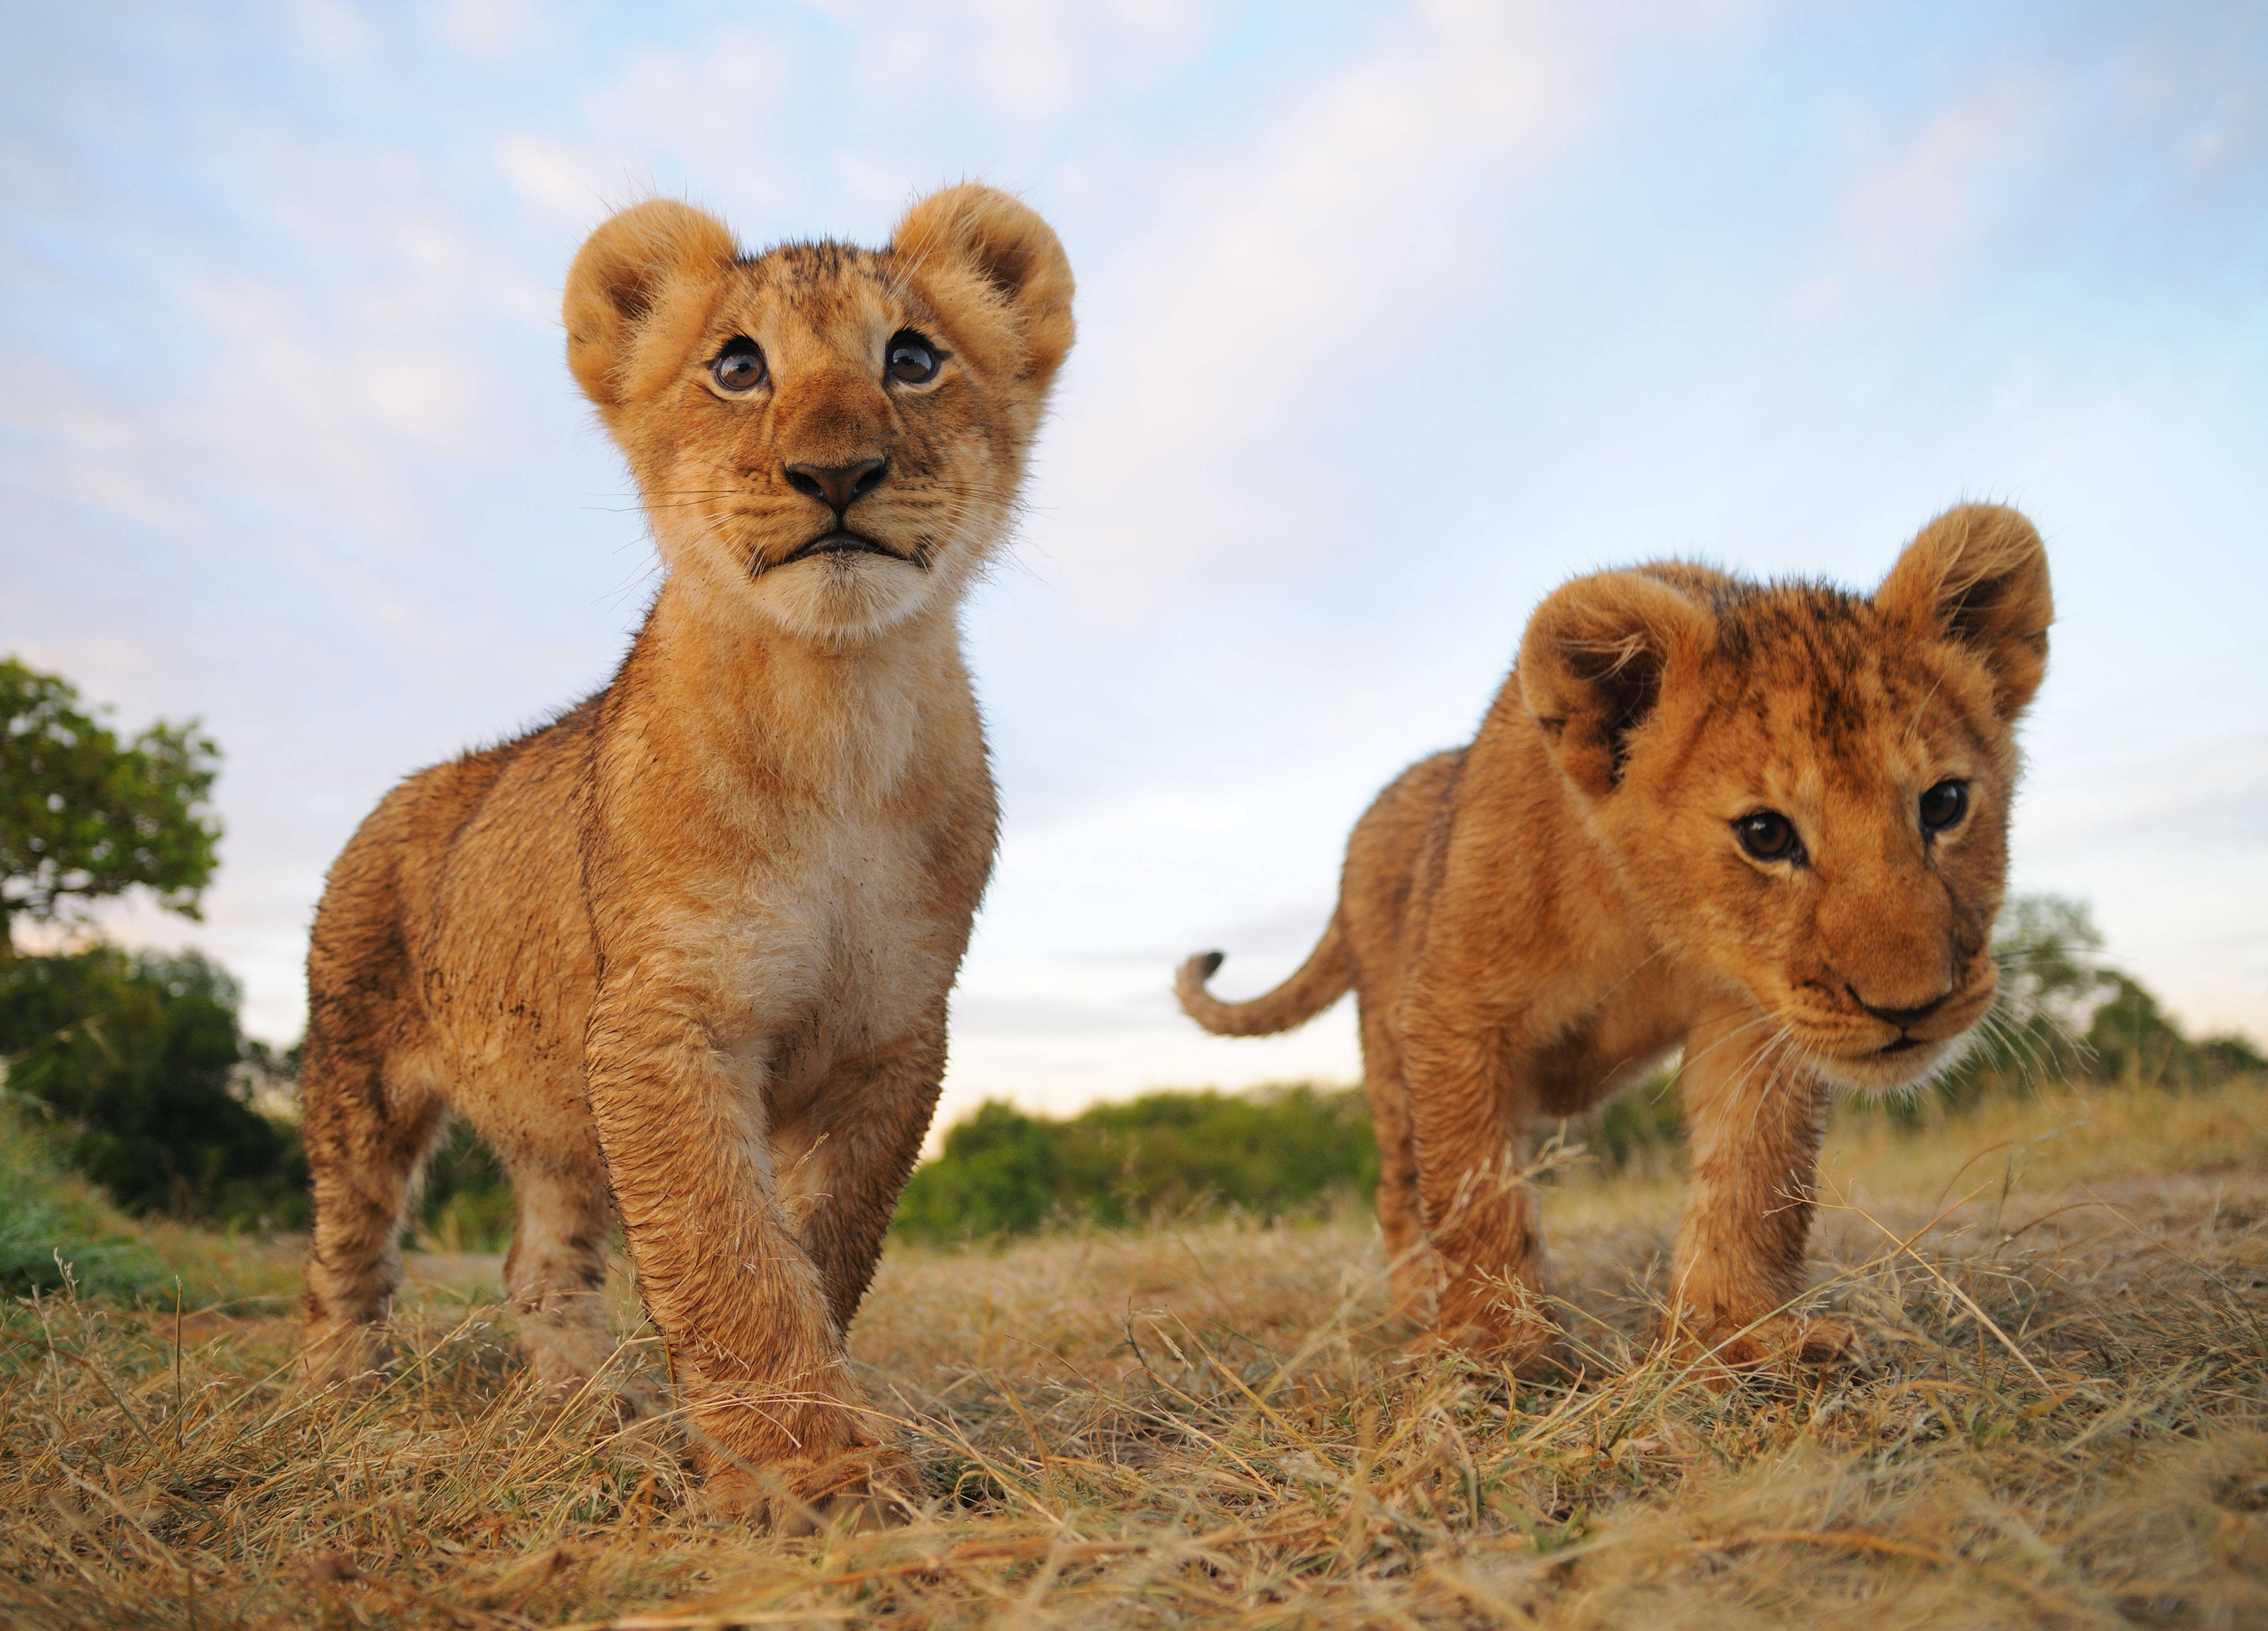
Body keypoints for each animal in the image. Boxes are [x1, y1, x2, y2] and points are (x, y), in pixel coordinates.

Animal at [297, 184, 1074, 1527]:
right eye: (738, 365)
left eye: (913, 358)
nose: (836, 472)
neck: (836, 717)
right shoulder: (664, 1019)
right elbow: (728, 1250)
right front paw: (813, 1470)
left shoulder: (893, 1039)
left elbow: (819, 1246)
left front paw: (792, 1435)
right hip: (358, 1078)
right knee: (347, 1242)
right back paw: (334, 1393)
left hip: (558, 1113)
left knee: (538, 1259)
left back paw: (589, 1404)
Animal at [1177, 505, 2051, 1370]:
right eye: (1766, 835)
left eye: (1943, 804)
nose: (1912, 1006)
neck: (1653, 918)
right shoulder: (1455, 1012)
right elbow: (1474, 1184)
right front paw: (1493, 1342)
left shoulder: (1753, 1015)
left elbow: (1755, 1171)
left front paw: (1741, 1329)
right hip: (1387, 1052)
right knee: (1401, 1186)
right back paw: (1417, 1304)